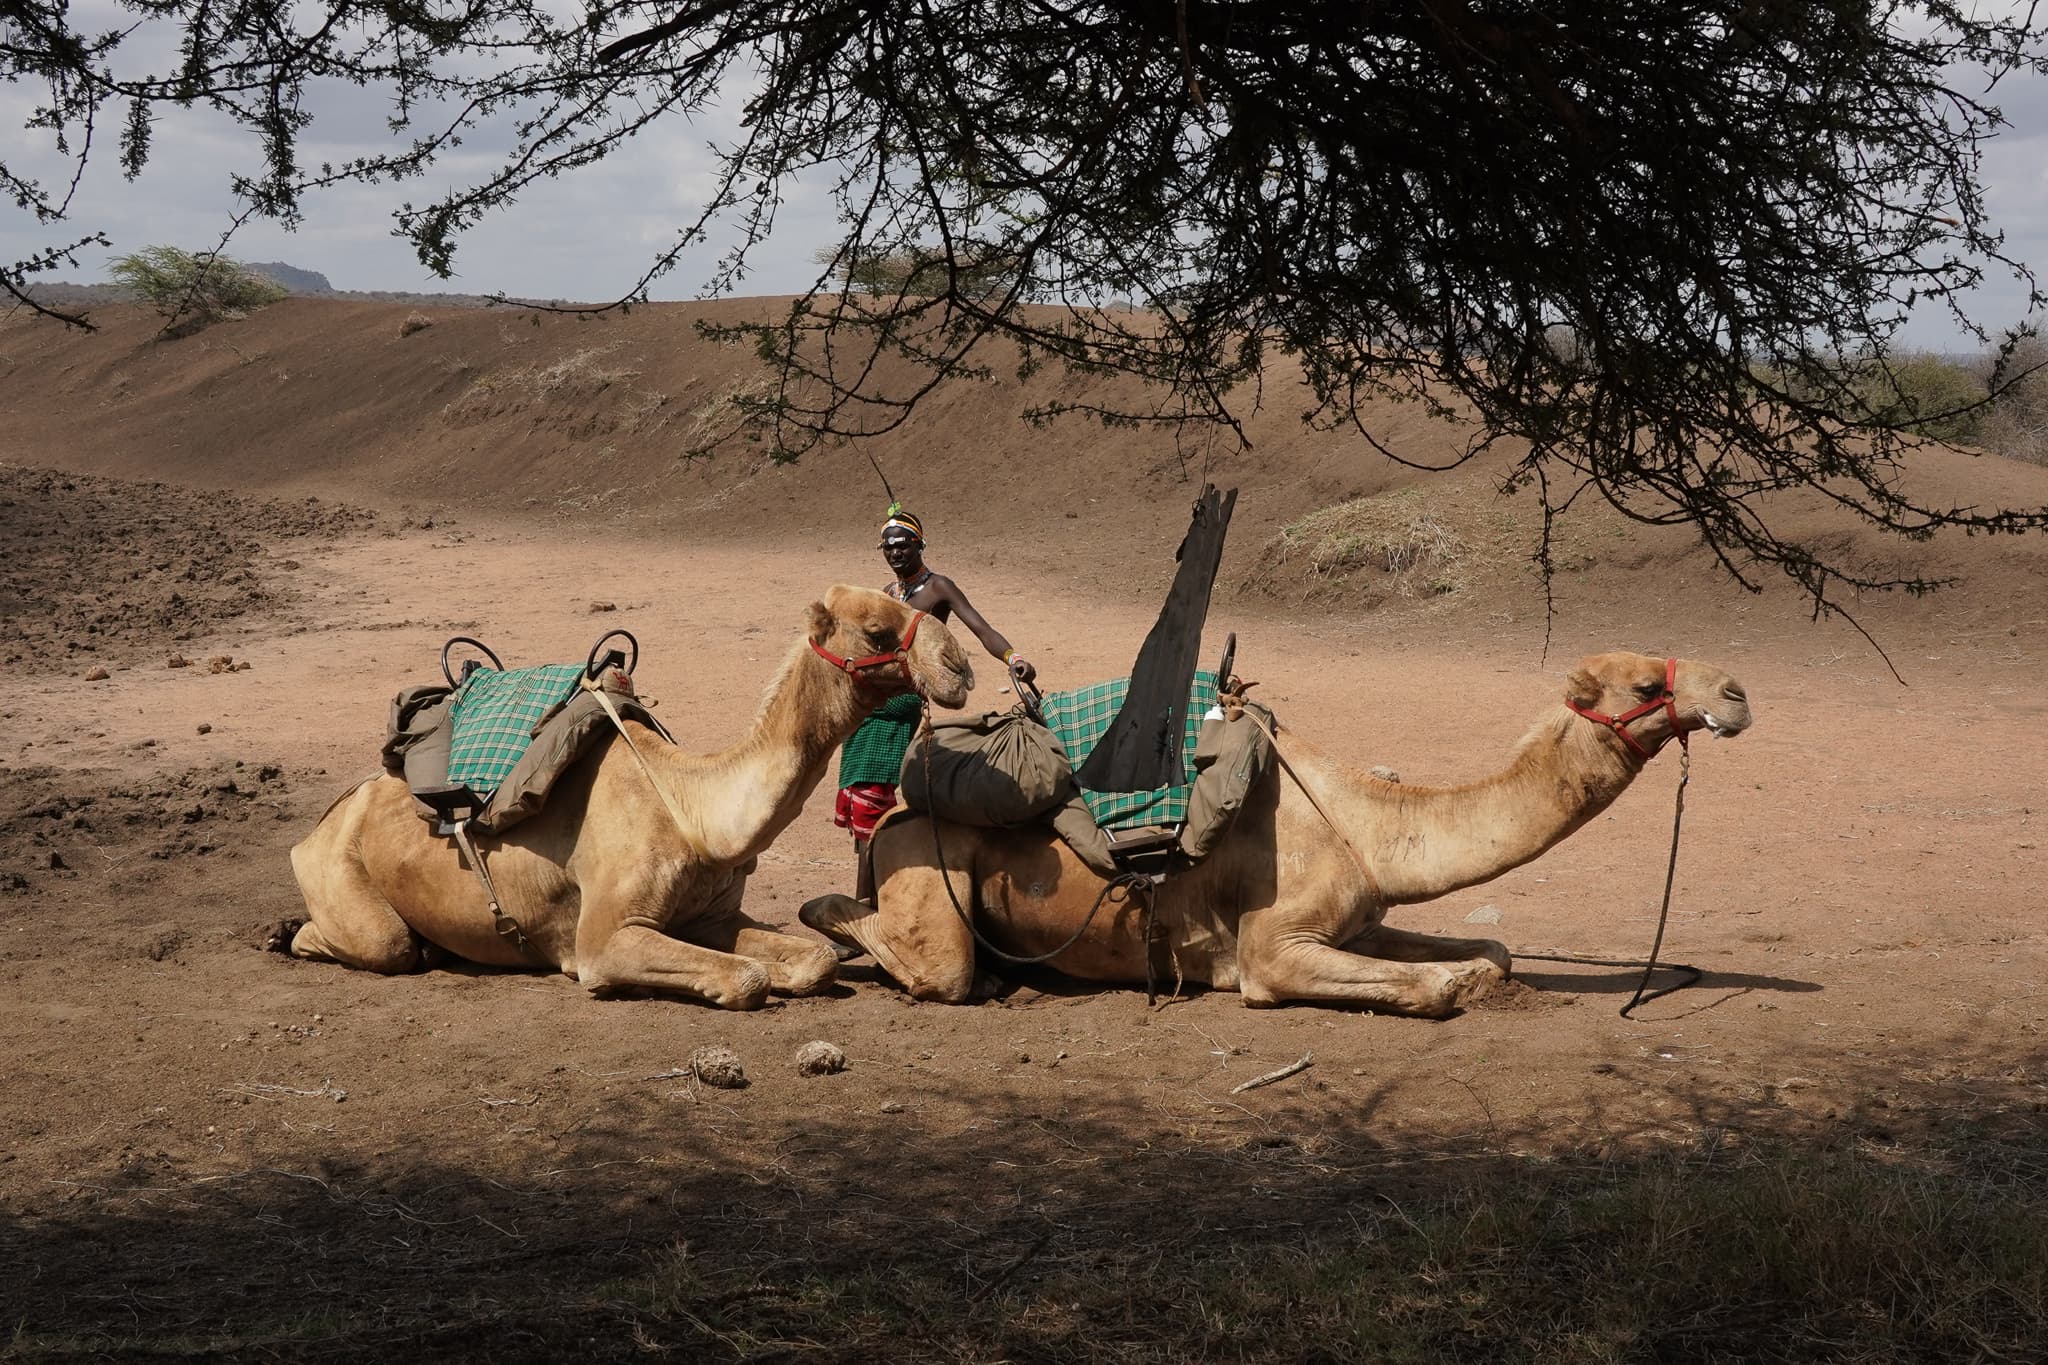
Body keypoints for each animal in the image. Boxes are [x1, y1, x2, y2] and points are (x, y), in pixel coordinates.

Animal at [285, 586, 972, 1009]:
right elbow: (747, 978)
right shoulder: (605, 939)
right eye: (878, 631)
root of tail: (325, 819)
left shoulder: (710, 918)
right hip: (340, 873)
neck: (694, 811)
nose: (960, 667)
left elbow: (816, 961)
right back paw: (295, 933)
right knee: (382, 943)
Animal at [800, 651, 1752, 1016]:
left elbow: (1491, 950)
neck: (1365, 819)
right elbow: (1435, 984)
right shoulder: (1274, 946)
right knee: (915, 953)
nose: (1737, 691)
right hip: (927, 868)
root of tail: (885, 822)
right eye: (1641, 686)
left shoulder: (1359, 914)